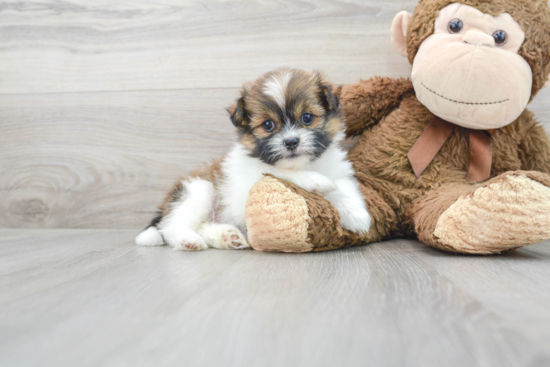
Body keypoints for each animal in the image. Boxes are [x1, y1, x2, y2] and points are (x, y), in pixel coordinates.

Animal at [136, 68, 374, 252]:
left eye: (307, 117)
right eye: (268, 125)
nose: (290, 142)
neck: (305, 164)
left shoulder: (338, 170)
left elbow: (343, 189)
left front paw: (357, 217)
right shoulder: (254, 176)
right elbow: (285, 173)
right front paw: (317, 181)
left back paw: (227, 237)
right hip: (198, 190)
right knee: (171, 227)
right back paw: (188, 240)